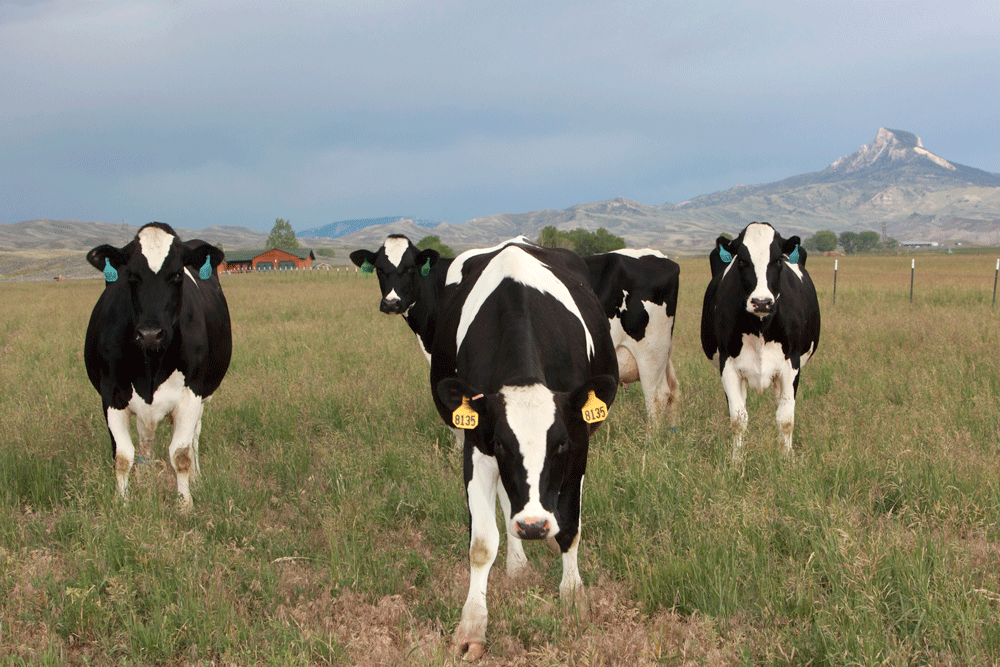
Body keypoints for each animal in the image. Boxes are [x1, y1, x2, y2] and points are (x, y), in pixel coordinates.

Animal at [84, 222, 232, 508]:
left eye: (177, 275)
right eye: (130, 275)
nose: (150, 334)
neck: (151, 366)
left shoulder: (191, 393)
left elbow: (181, 454)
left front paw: (185, 504)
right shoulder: (111, 394)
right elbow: (123, 456)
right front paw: (122, 502)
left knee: (194, 437)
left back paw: (196, 477)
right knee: (145, 441)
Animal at [432, 239, 616, 656]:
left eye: (560, 444)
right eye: (502, 442)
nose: (533, 526)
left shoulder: (579, 444)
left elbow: (570, 528)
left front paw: (573, 598)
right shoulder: (477, 445)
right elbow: (482, 543)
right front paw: (472, 627)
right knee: (505, 502)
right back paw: (517, 563)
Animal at [704, 222, 820, 462]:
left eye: (778, 261)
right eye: (741, 261)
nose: (762, 302)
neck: (760, 327)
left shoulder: (791, 365)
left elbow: (785, 418)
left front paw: (786, 459)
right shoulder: (728, 365)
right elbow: (738, 419)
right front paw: (736, 461)